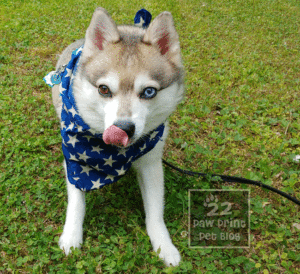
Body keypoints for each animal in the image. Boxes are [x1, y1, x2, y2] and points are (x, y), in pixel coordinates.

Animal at [49, 7, 184, 266]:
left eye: (149, 91)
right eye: (104, 89)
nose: (123, 128)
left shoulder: (151, 162)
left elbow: (155, 210)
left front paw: (164, 244)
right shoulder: (75, 159)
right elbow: (76, 200)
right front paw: (71, 235)